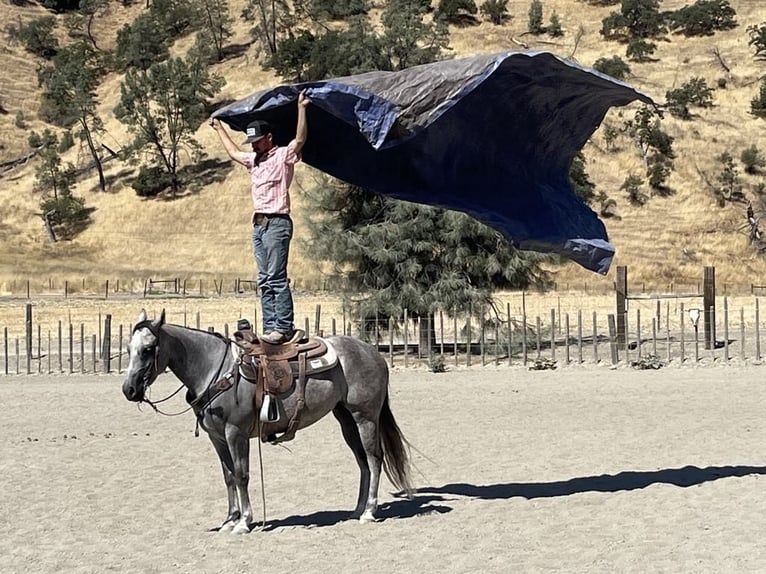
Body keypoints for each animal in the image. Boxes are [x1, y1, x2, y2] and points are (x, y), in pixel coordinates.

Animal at [121, 310, 414, 536]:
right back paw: (357, 509)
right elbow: (228, 477)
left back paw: (369, 511)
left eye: (148, 349)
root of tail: (373, 352)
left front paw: (243, 522)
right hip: (346, 420)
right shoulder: (217, 437)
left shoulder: (235, 433)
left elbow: (241, 474)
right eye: (128, 349)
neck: (215, 369)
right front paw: (229, 520)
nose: (129, 390)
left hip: (365, 417)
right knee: (362, 462)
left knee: (374, 459)